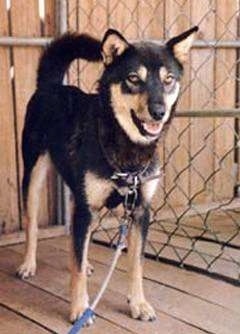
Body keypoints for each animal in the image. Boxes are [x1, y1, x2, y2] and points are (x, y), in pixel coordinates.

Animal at [15, 26, 198, 326]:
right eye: (133, 78)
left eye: (169, 80)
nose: (159, 112)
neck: (127, 149)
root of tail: (50, 86)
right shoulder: (86, 208)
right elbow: (76, 269)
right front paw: (80, 309)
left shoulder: (140, 210)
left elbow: (136, 263)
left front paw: (138, 304)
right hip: (34, 177)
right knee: (32, 225)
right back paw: (28, 264)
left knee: (79, 241)